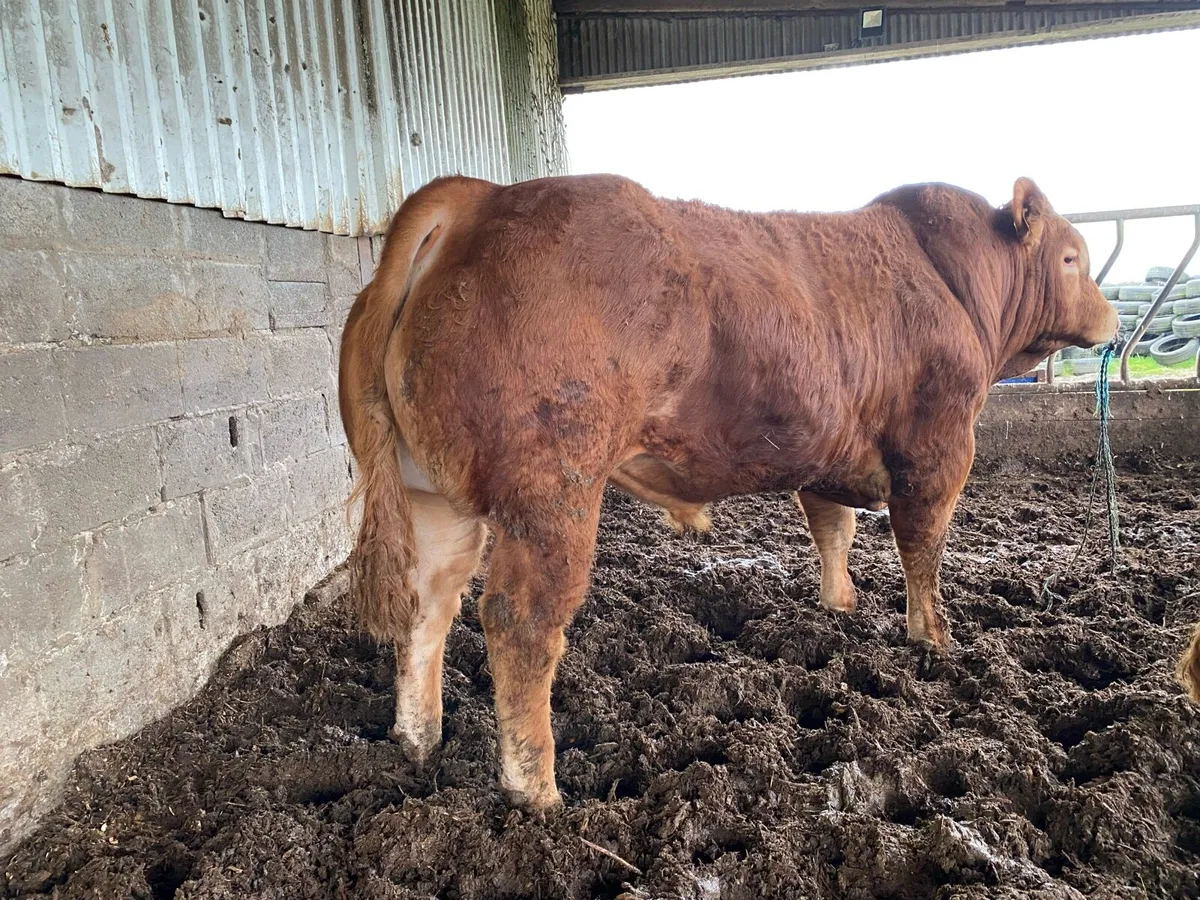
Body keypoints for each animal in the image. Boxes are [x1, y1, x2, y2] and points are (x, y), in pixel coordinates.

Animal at [338, 174, 1120, 809]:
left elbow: (833, 528)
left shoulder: (828, 455)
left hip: (435, 498)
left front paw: (839, 605)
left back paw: (419, 737)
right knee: (520, 623)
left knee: (429, 603)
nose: (1112, 318)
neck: (956, 284)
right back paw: (537, 789)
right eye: (1071, 258)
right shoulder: (940, 447)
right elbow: (922, 547)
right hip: (553, 493)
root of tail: (479, 197)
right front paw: (935, 639)